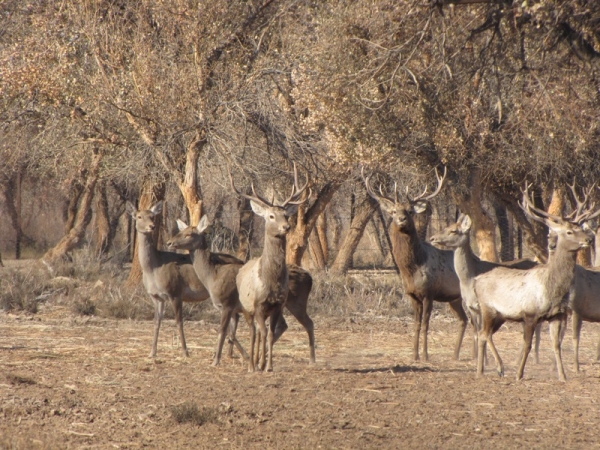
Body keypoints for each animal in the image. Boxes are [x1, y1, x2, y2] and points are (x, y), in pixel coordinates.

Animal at [166, 214, 316, 366]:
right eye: (181, 231)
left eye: (189, 234)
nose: (169, 242)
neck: (212, 277)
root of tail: (309, 278)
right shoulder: (231, 308)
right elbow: (231, 333)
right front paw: (244, 356)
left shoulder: (227, 303)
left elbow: (222, 331)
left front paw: (216, 360)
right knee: (283, 325)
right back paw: (263, 356)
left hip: (296, 302)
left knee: (308, 323)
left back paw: (311, 359)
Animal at [230, 163, 312, 370]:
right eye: (271, 215)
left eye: (286, 215)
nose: (286, 227)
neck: (270, 281)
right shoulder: (258, 304)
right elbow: (264, 333)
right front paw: (258, 365)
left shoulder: (277, 305)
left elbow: (270, 334)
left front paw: (268, 366)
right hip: (246, 306)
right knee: (253, 332)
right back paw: (251, 365)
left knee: (261, 332)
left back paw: (258, 362)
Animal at [364, 168, 472, 362]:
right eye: (393, 211)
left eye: (409, 211)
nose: (401, 219)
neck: (413, 269)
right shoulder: (413, 295)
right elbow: (415, 324)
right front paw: (414, 355)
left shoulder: (429, 292)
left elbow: (425, 325)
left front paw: (425, 355)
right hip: (454, 298)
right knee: (464, 320)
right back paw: (456, 355)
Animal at [474, 185, 596, 380]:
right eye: (569, 232)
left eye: (581, 228)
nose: (589, 239)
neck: (552, 290)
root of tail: (476, 281)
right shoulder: (530, 314)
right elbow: (528, 344)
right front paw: (519, 374)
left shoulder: (557, 315)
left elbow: (556, 345)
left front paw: (563, 376)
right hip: (488, 308)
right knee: (484, 334)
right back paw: (500, 367)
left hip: (500, 315)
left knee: (481, 334)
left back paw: (480, 371)